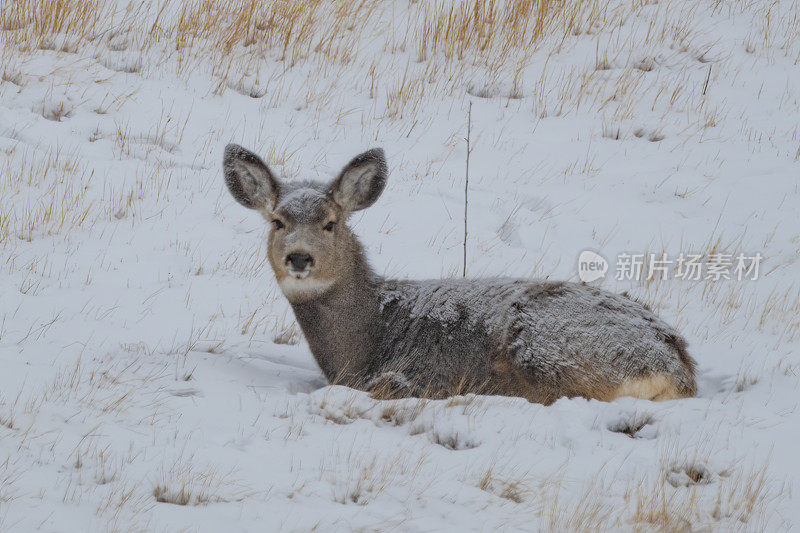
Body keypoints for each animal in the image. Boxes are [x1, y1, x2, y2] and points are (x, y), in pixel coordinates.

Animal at [223, 145, 692, 404]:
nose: (299, 258)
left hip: (548, 344)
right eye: (277, 222)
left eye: (330, 223)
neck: (370, 334)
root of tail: (677, 364)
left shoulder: (417, 370)